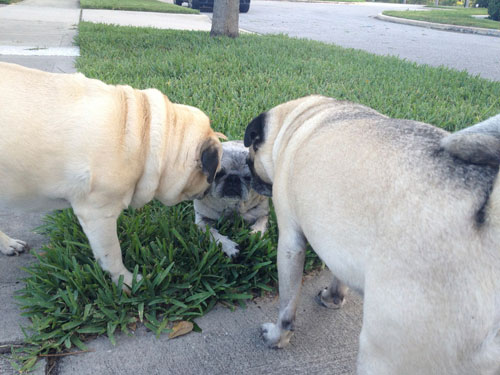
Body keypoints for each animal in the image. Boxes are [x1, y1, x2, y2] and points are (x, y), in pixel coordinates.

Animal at [0, 63, 223, 290]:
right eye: (215, 172)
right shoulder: (98, 215)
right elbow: (111, 254)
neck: (145, 135)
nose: (213, 184)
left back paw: (8, 245)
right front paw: (127, 281)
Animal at [243, 96, 500, 375]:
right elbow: (338, 274)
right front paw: (333, 298)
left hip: (385, 352)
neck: (300, 119)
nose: (247, 172)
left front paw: (276, 338)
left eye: (250, 158)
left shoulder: (290, 240)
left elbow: (287, 307)